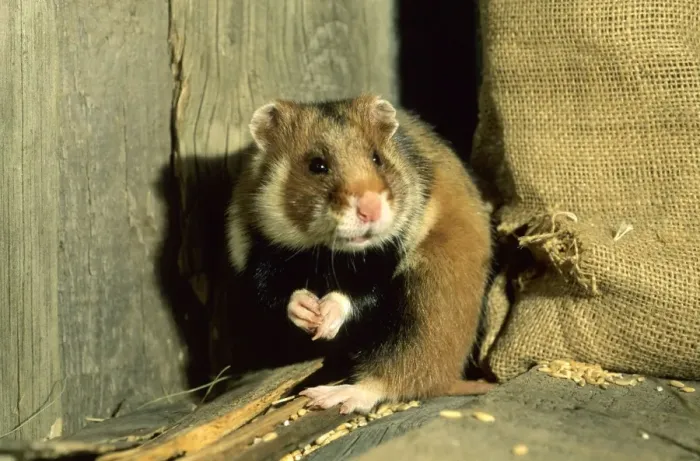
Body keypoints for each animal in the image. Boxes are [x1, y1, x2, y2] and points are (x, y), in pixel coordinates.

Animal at [226, 93, 494, 414]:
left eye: (377, 158)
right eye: (317, 166)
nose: (371, 208)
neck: (325, 252)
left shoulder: (386, 255)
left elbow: (359, 294)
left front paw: (325, 319)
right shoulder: (261, 251)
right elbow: (274, 293)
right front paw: (309, 312)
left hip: (429, 306)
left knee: (403, 373)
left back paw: (330, 396)